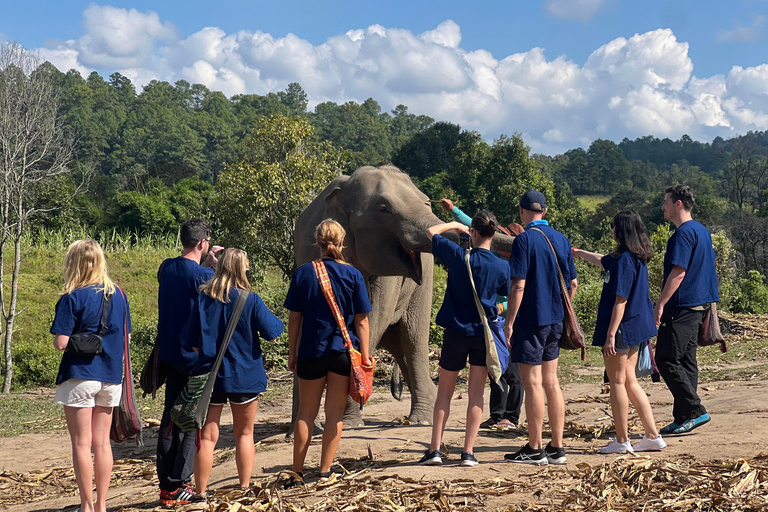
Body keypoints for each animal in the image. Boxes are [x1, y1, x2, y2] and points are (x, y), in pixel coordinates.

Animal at [288, 166, 510, 430]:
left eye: (426, 202)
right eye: (384, 210)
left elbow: (371, 319)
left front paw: (349, 422)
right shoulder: (307, 253)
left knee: (412, 337)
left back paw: (422, 418)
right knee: (396, 338)